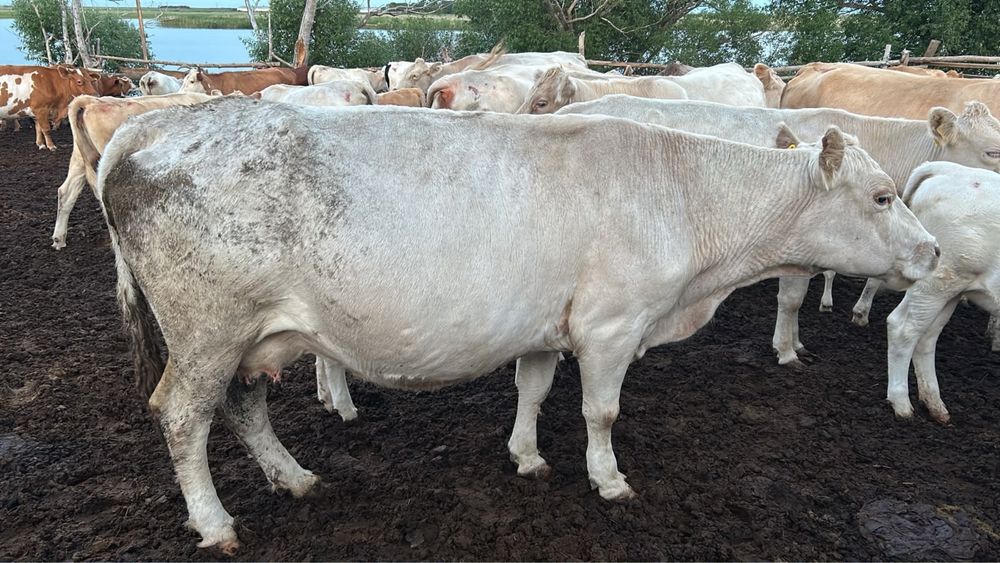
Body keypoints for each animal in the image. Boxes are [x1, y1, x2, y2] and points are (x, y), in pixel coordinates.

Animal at [94, 97, 937, 553]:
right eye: (883, 196)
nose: (932, 250)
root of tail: (152, 125)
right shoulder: (611, 324)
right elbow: (602, 411)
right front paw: (608, 478)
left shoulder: (546, 325)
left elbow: (532, 392)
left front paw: (528, 456)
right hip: (206, 328)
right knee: (183, 416)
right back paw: (214, 521)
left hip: (250, 337)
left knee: (244, 406)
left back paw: (295, 476)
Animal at [885, 162, 1000, 423]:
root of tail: (948, 169)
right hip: (937, 284)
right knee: (903, 329)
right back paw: (901, 404)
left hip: (949, 292)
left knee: (926, 338)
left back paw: (935, 405)